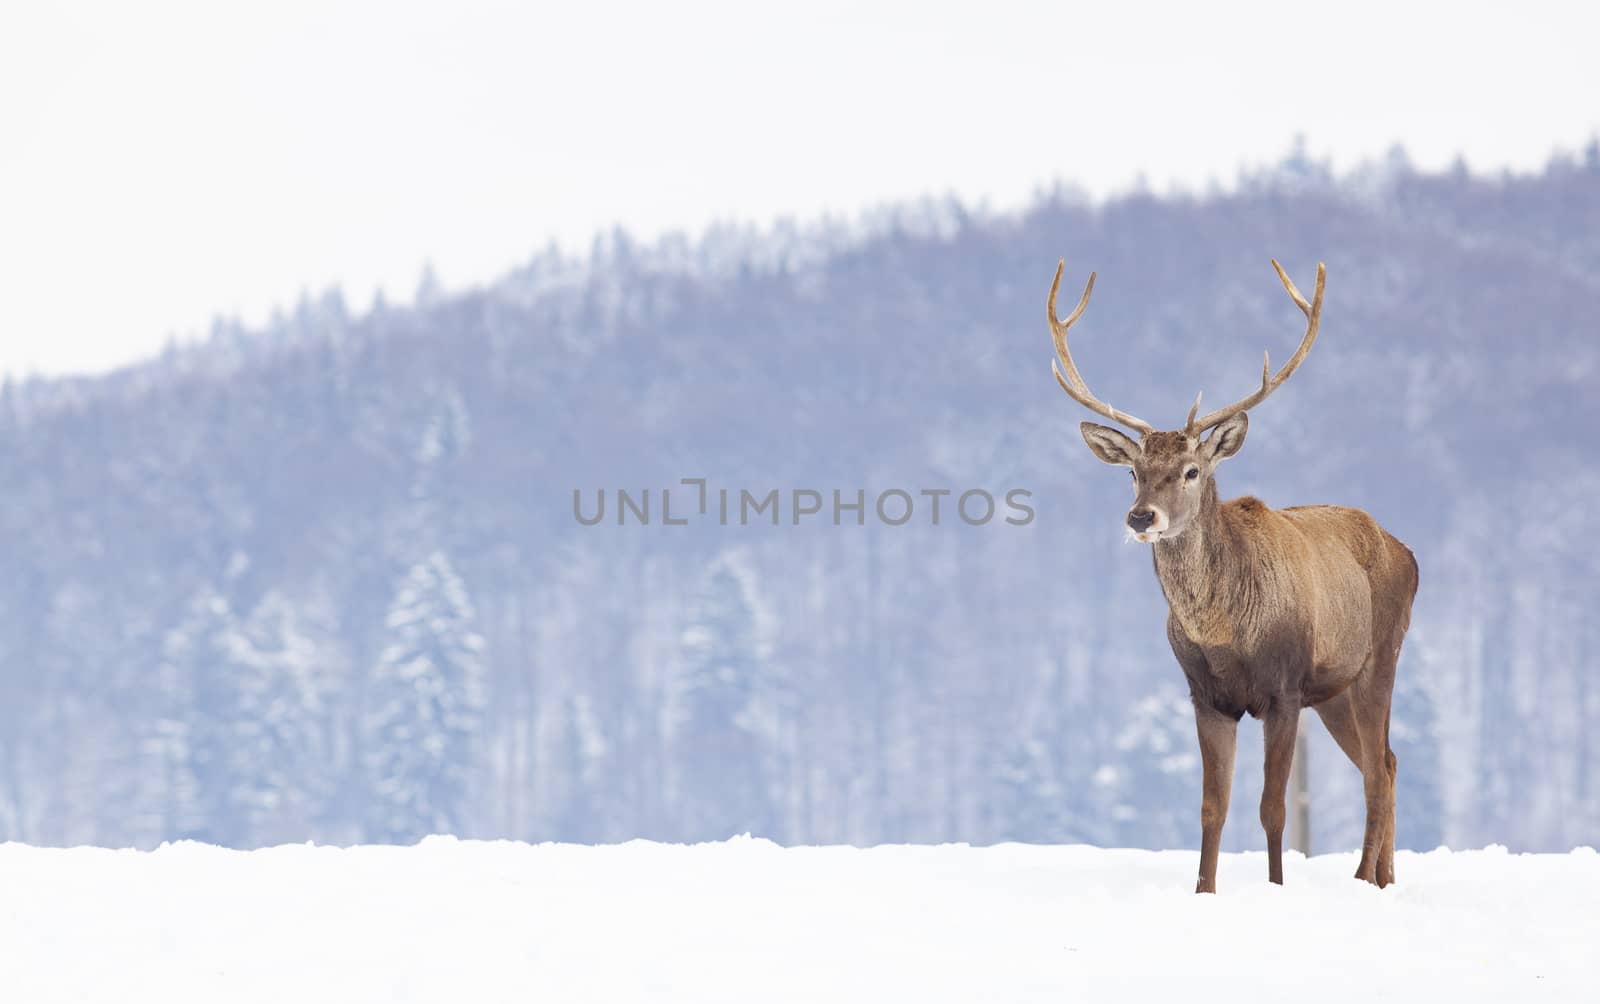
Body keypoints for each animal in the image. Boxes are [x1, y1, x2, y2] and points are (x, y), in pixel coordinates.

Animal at [1049, 258, 1414, 895]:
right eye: (1133, 472)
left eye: (1192, 470)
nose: (1141, 517)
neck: (1224, 634)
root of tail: (1409, 552)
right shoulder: (1206, 695)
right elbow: (1211, 807)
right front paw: (1204, 891)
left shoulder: (1285, 689)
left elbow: (1274, 808)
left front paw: (1275, 888)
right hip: (1335, 692)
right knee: (1387, 762)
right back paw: (1384, 879)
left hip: (1379, 659)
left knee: (1376, 769)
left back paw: (1364, 879)